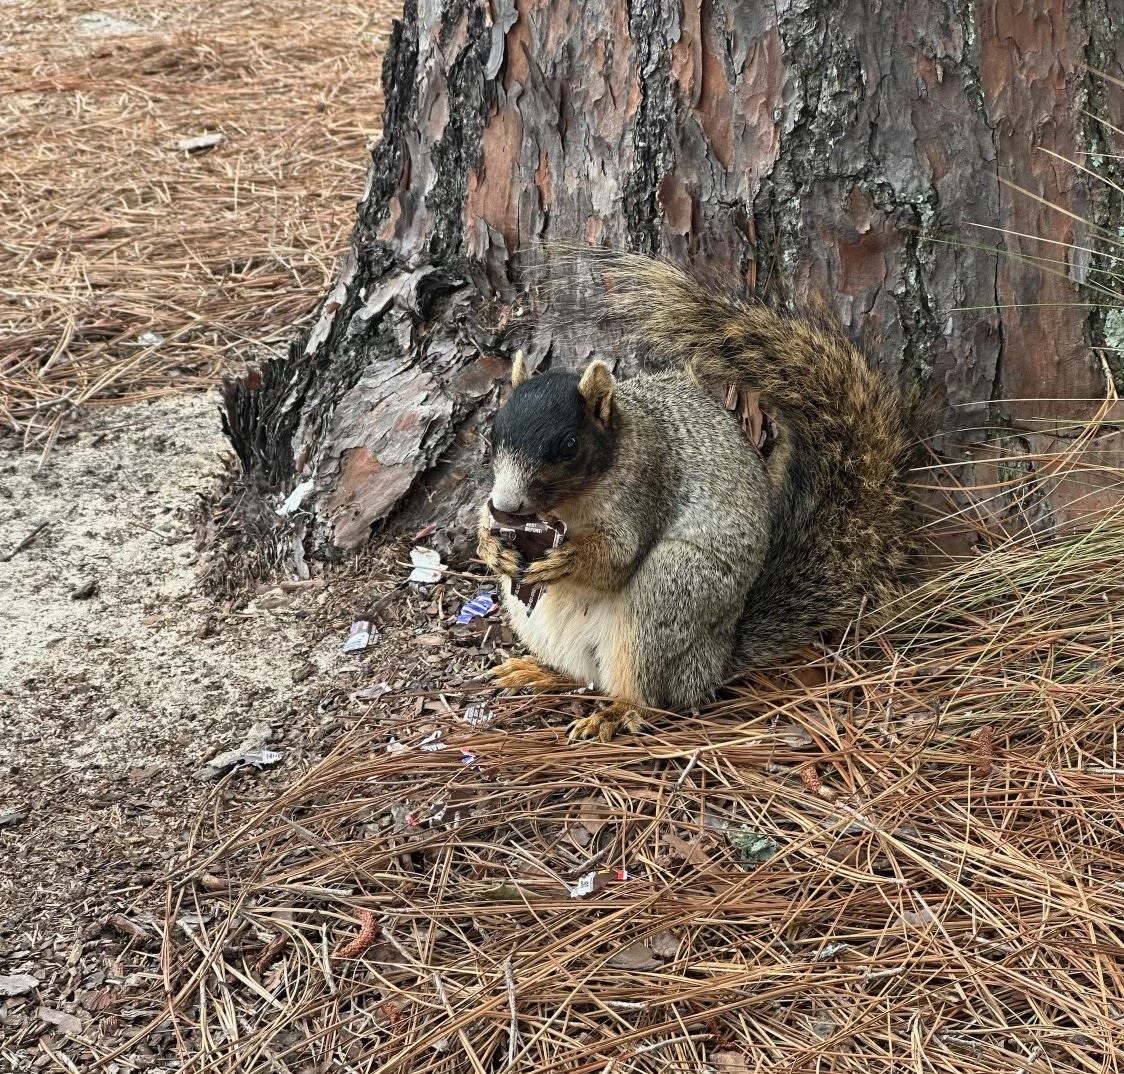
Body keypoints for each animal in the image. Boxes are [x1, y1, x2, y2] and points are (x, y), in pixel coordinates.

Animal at [474, 250, 912, 741]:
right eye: (492, 433)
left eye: (568, 445)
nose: (506, 506)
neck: (567, 507)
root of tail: (714, 662)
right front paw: (489, 543)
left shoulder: (647, 481)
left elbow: (617, 557)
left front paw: (568, 558)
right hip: (536, 619)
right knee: (580, 673)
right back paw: (537, 671)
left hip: (671, 586)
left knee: (651, 694)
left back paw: (618, 711)